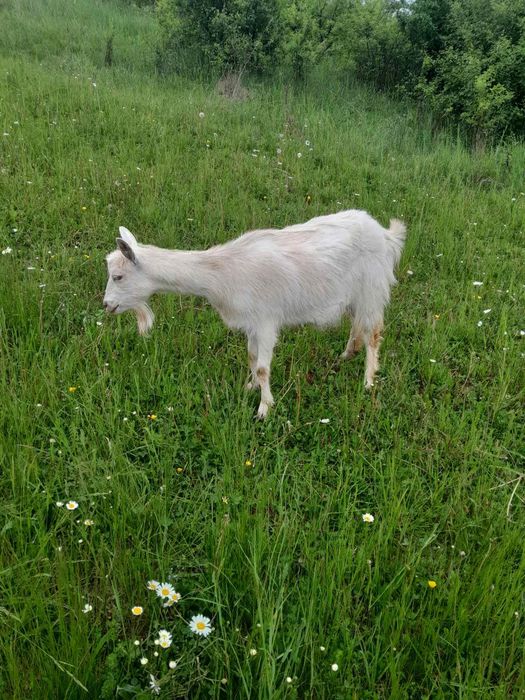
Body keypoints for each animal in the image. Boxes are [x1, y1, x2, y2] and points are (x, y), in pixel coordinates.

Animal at [103, 210, 406, 418]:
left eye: (118, 276)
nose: (106, 305)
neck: (221, 273)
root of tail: (386, 235)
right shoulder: (250, 323)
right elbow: (251, 357)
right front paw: (249, 387)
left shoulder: (265, 321)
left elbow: (262, 367)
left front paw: (264, 408)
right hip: (355, 295)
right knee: (357, 325)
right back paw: (346, 355)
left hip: (372, 288)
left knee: (374, 333)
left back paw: (368, 381)